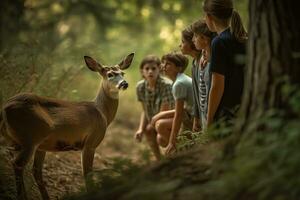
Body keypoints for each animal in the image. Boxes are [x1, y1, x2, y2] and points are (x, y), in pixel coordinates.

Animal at [0, 52, 135, 199]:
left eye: (123, 73)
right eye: (110, 74)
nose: (124, 83)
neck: (101, 112)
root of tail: (5, 108)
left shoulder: (45, 147)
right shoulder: (91, 142)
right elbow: (87, 174)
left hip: (34, 142)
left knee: (34, 171)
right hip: (30, 137)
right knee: (18, 164)